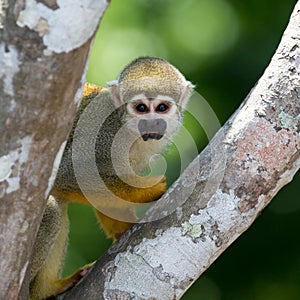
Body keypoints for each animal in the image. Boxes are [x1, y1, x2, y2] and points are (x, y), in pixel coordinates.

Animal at [29, 56, 193, 298]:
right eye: (141, 108)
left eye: (162, 108)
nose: (152, 122)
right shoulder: (103, 135)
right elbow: (67, 174)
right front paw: (147, 191)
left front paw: (123, 226)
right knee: (51, 207)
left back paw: (47, 288)